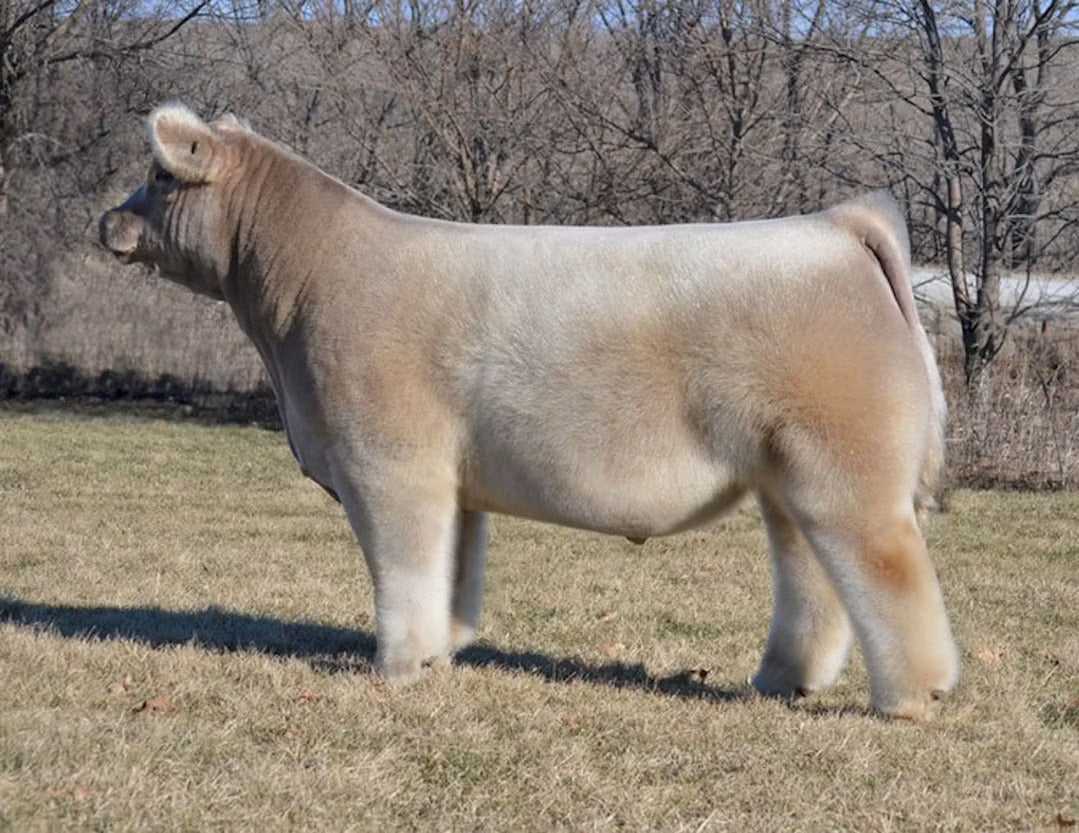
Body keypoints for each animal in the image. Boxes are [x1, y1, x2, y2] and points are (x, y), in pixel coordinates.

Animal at [99, 104, 958, 718]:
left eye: (159, 177)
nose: (108, 220)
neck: (306, 282)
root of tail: (837, 225)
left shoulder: (386, 461)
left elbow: (402, 567)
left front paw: (395, 666)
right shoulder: (449, 480)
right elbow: (449, 567)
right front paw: (438, 650)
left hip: (845, 469)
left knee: (886, 568)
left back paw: (910, 698)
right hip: (788, 476)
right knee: (812, 573)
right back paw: (782, 679)